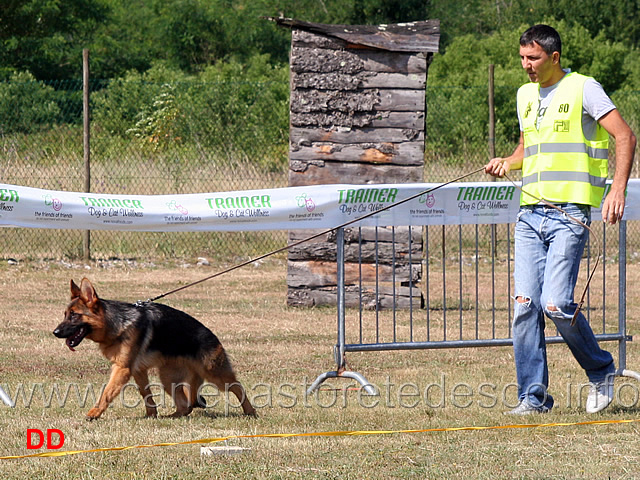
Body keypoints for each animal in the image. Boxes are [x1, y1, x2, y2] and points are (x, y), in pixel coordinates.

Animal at [52, 278, 256, 420]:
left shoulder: (122, 369)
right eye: (65, 314)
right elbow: (145, 392)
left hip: (214, 373)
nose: (55, 332)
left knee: (237, 387)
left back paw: (250, 411)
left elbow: (107, 393)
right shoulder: (137, 370)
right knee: (186, 405)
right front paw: (152, 415)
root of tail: (212, 335)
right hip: (168, 378)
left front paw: (94, 413)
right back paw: (173, 417)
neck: (115, 324)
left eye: (74, 316)